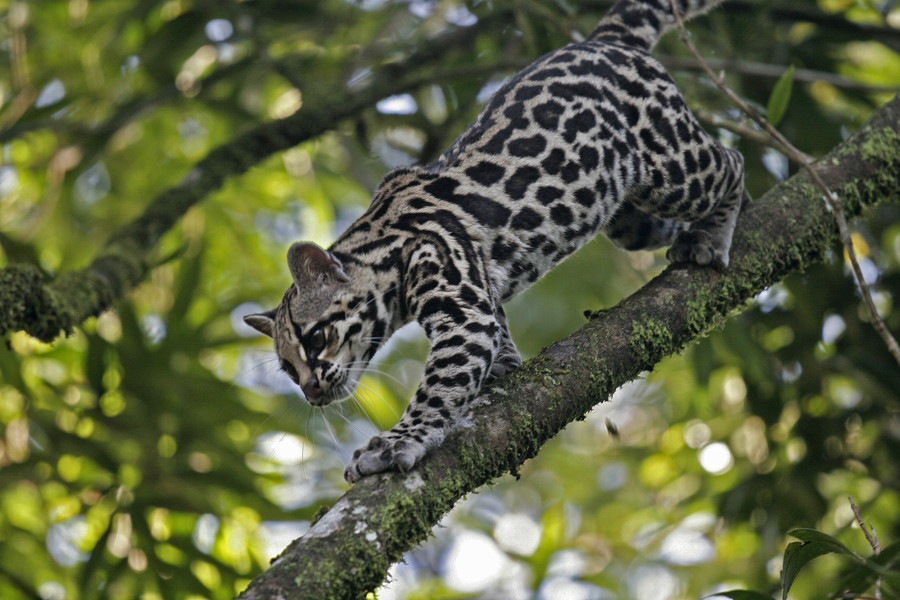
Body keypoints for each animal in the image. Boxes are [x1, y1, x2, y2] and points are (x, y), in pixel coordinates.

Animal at [244, 0, 744, 480]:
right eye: (287, 368)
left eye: (315, 338)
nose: (310, 391)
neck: (383, 247)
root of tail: (604, 39)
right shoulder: (478, 287)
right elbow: (494, 327)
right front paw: (502, 362)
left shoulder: (459, 303)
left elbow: (438, 386)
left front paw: (395, 443)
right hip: (628, 219)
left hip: (672, 165)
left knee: (732, 160)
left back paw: (713, 234)